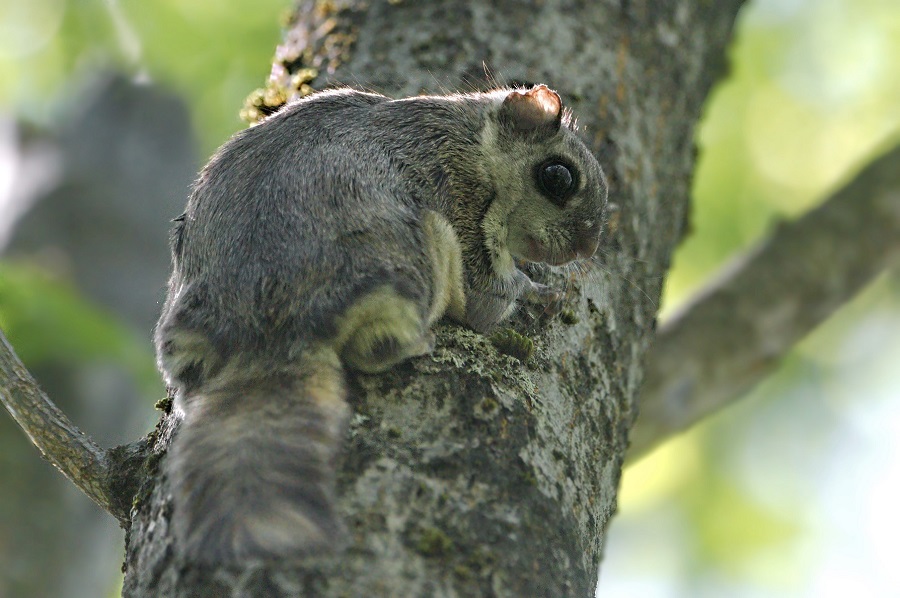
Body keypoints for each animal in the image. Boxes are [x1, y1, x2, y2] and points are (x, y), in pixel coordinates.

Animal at [155, 82, 608, 564]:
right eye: (558, 177)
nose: (586, 248)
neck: (474, 138)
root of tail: (268, 333)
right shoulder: (462, 200)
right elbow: (487, 299)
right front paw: (537, 289)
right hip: (413, 263)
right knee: (378, 344)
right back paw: (414, 343)